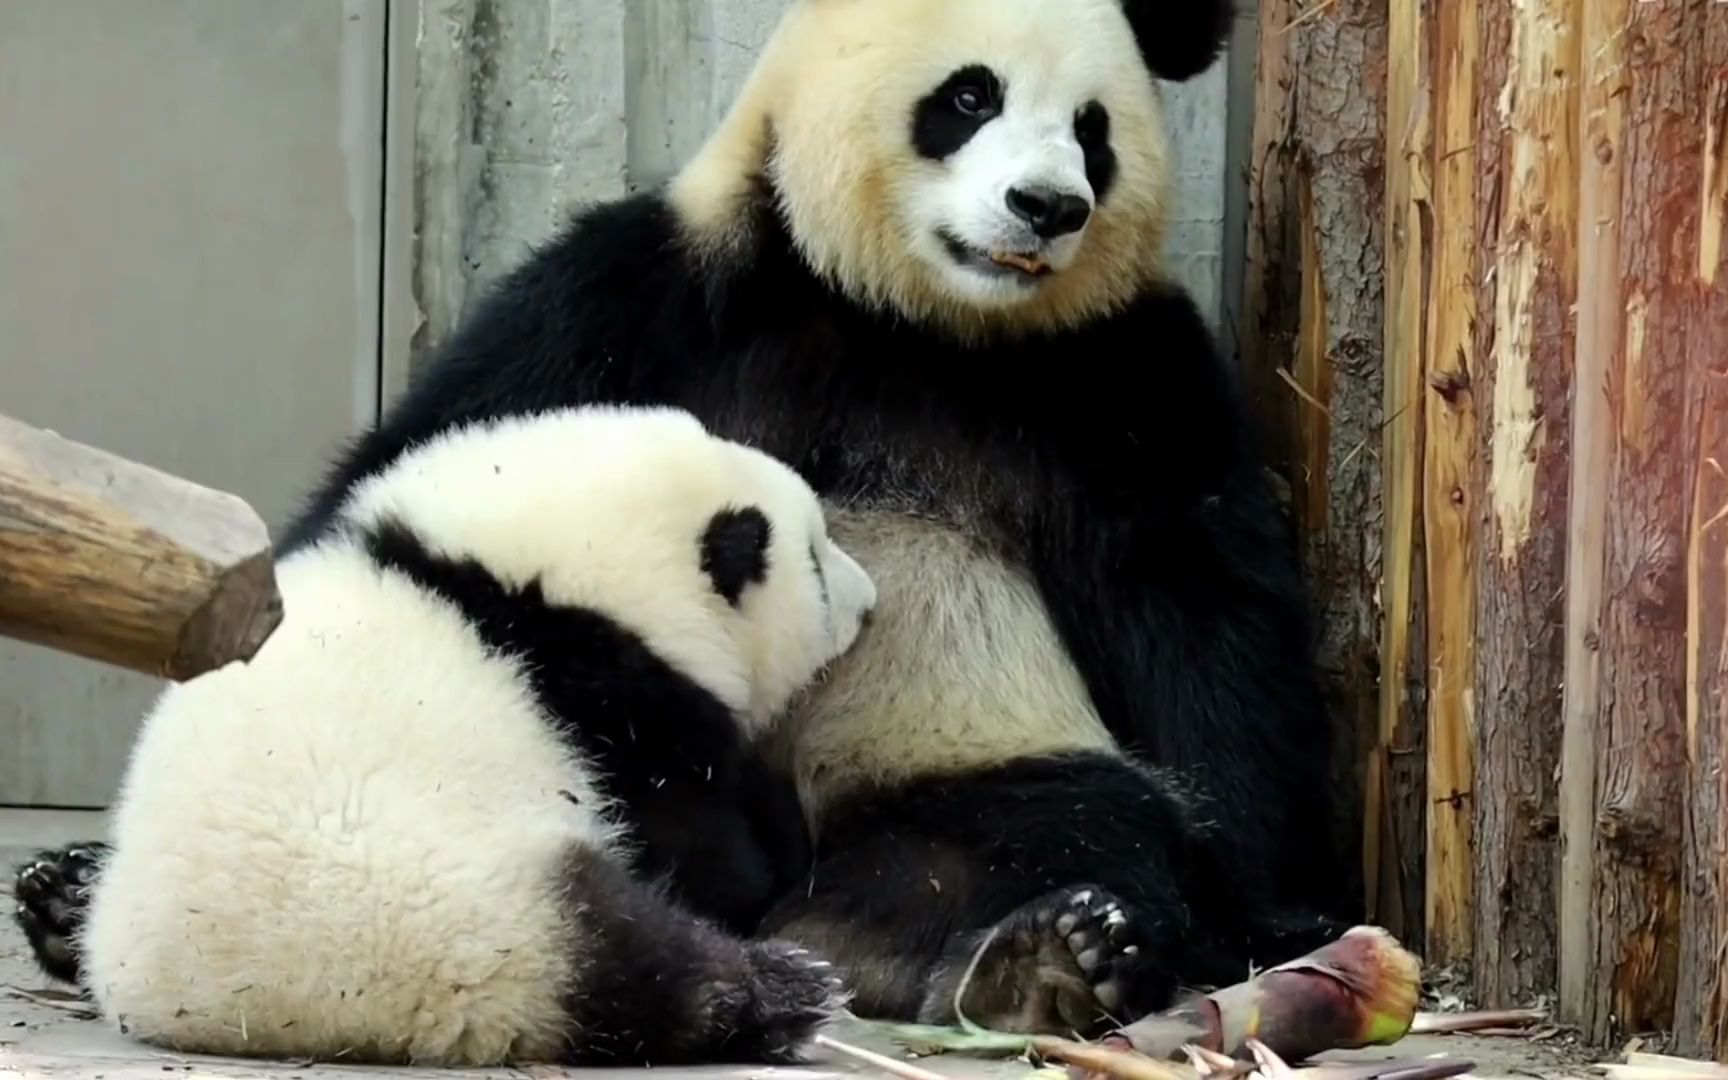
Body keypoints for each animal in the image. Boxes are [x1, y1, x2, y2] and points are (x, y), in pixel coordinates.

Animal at [13, 406, 877, 1071]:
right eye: (814, 557)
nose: (871, 603)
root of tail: (213, 1006)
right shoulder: (605, 703)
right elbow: (713, 858)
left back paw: (62, 894)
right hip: (455, 921)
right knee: (633, 963)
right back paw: (783, 991)